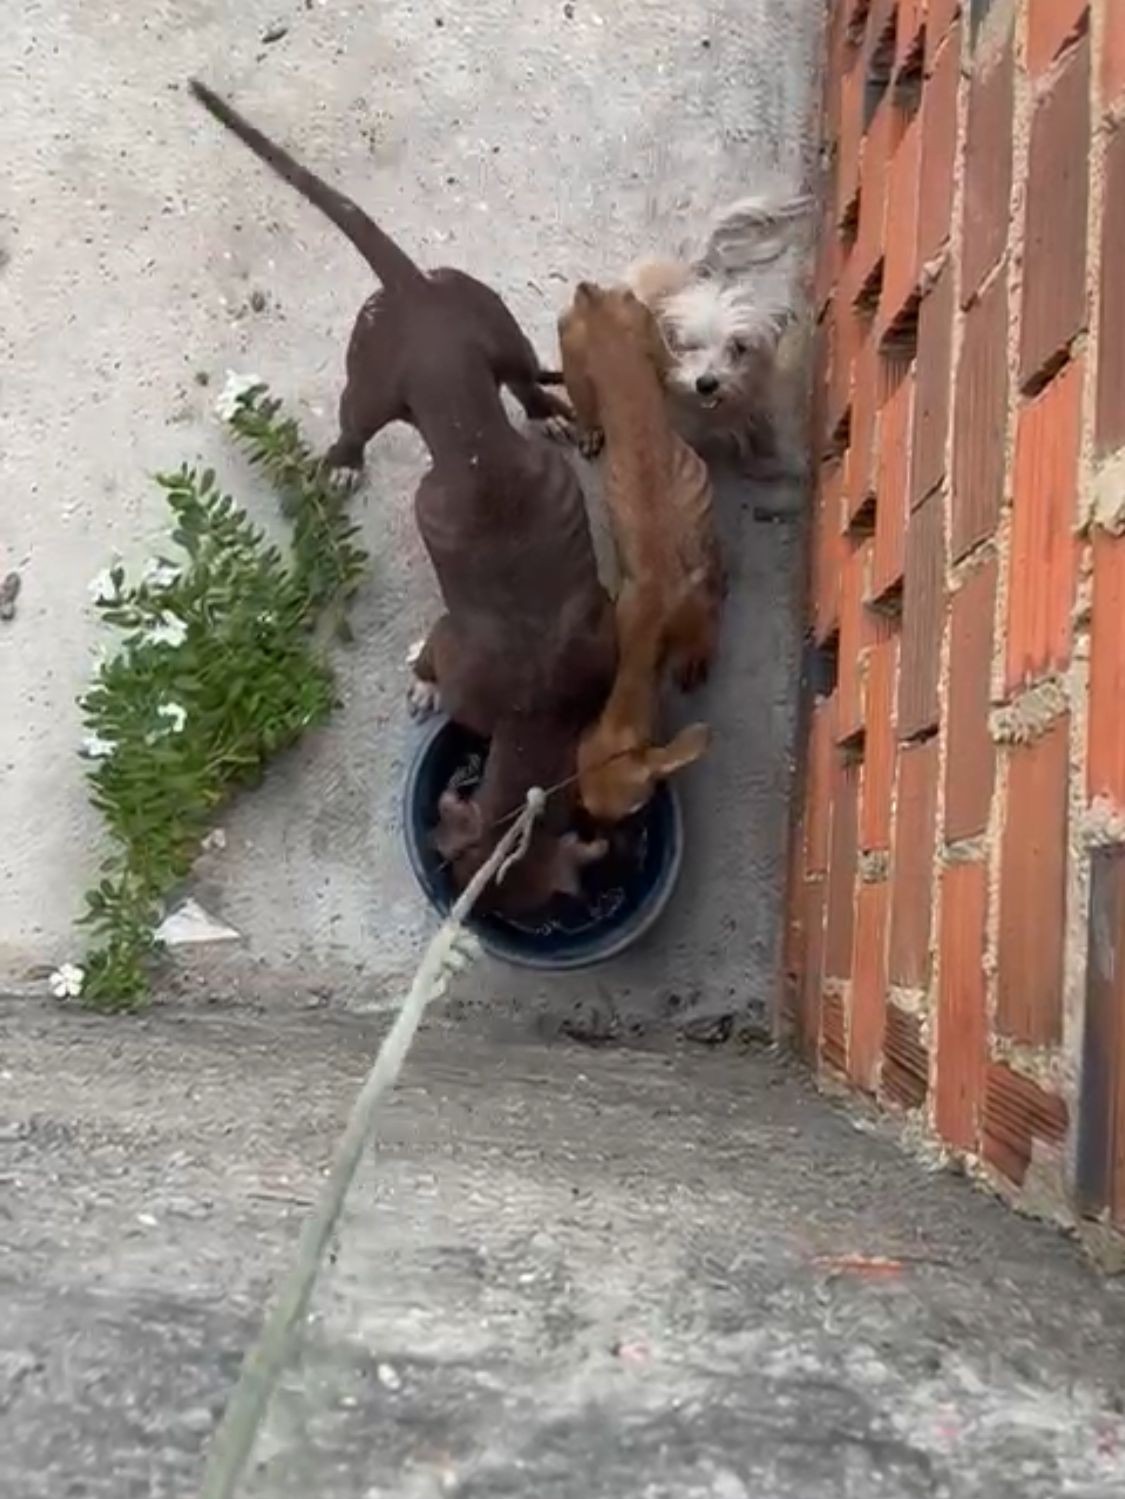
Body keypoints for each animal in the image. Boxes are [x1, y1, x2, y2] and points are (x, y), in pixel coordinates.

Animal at [193, 85, 617, 911]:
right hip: (382, 378)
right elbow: (431, 659)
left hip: (494, 336)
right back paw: (345, 464)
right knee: (354, 425)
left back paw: (547, 413)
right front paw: (421, 686)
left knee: (520, 383)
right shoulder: (459, 651)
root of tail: (417, 294)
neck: (537, 719)